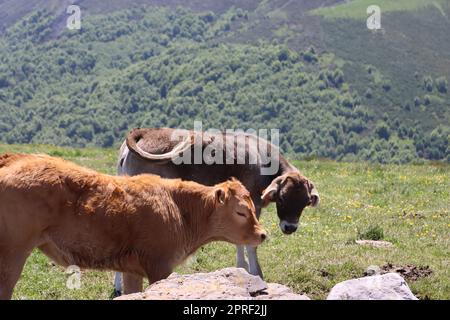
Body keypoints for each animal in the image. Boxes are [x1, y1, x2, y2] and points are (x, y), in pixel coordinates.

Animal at [0, 154, 266, 298]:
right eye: (241, 211)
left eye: (253, 208)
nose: (263, 234)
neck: (178, 207)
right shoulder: (160, 267)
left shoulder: (132, 270)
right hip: (12, 255)